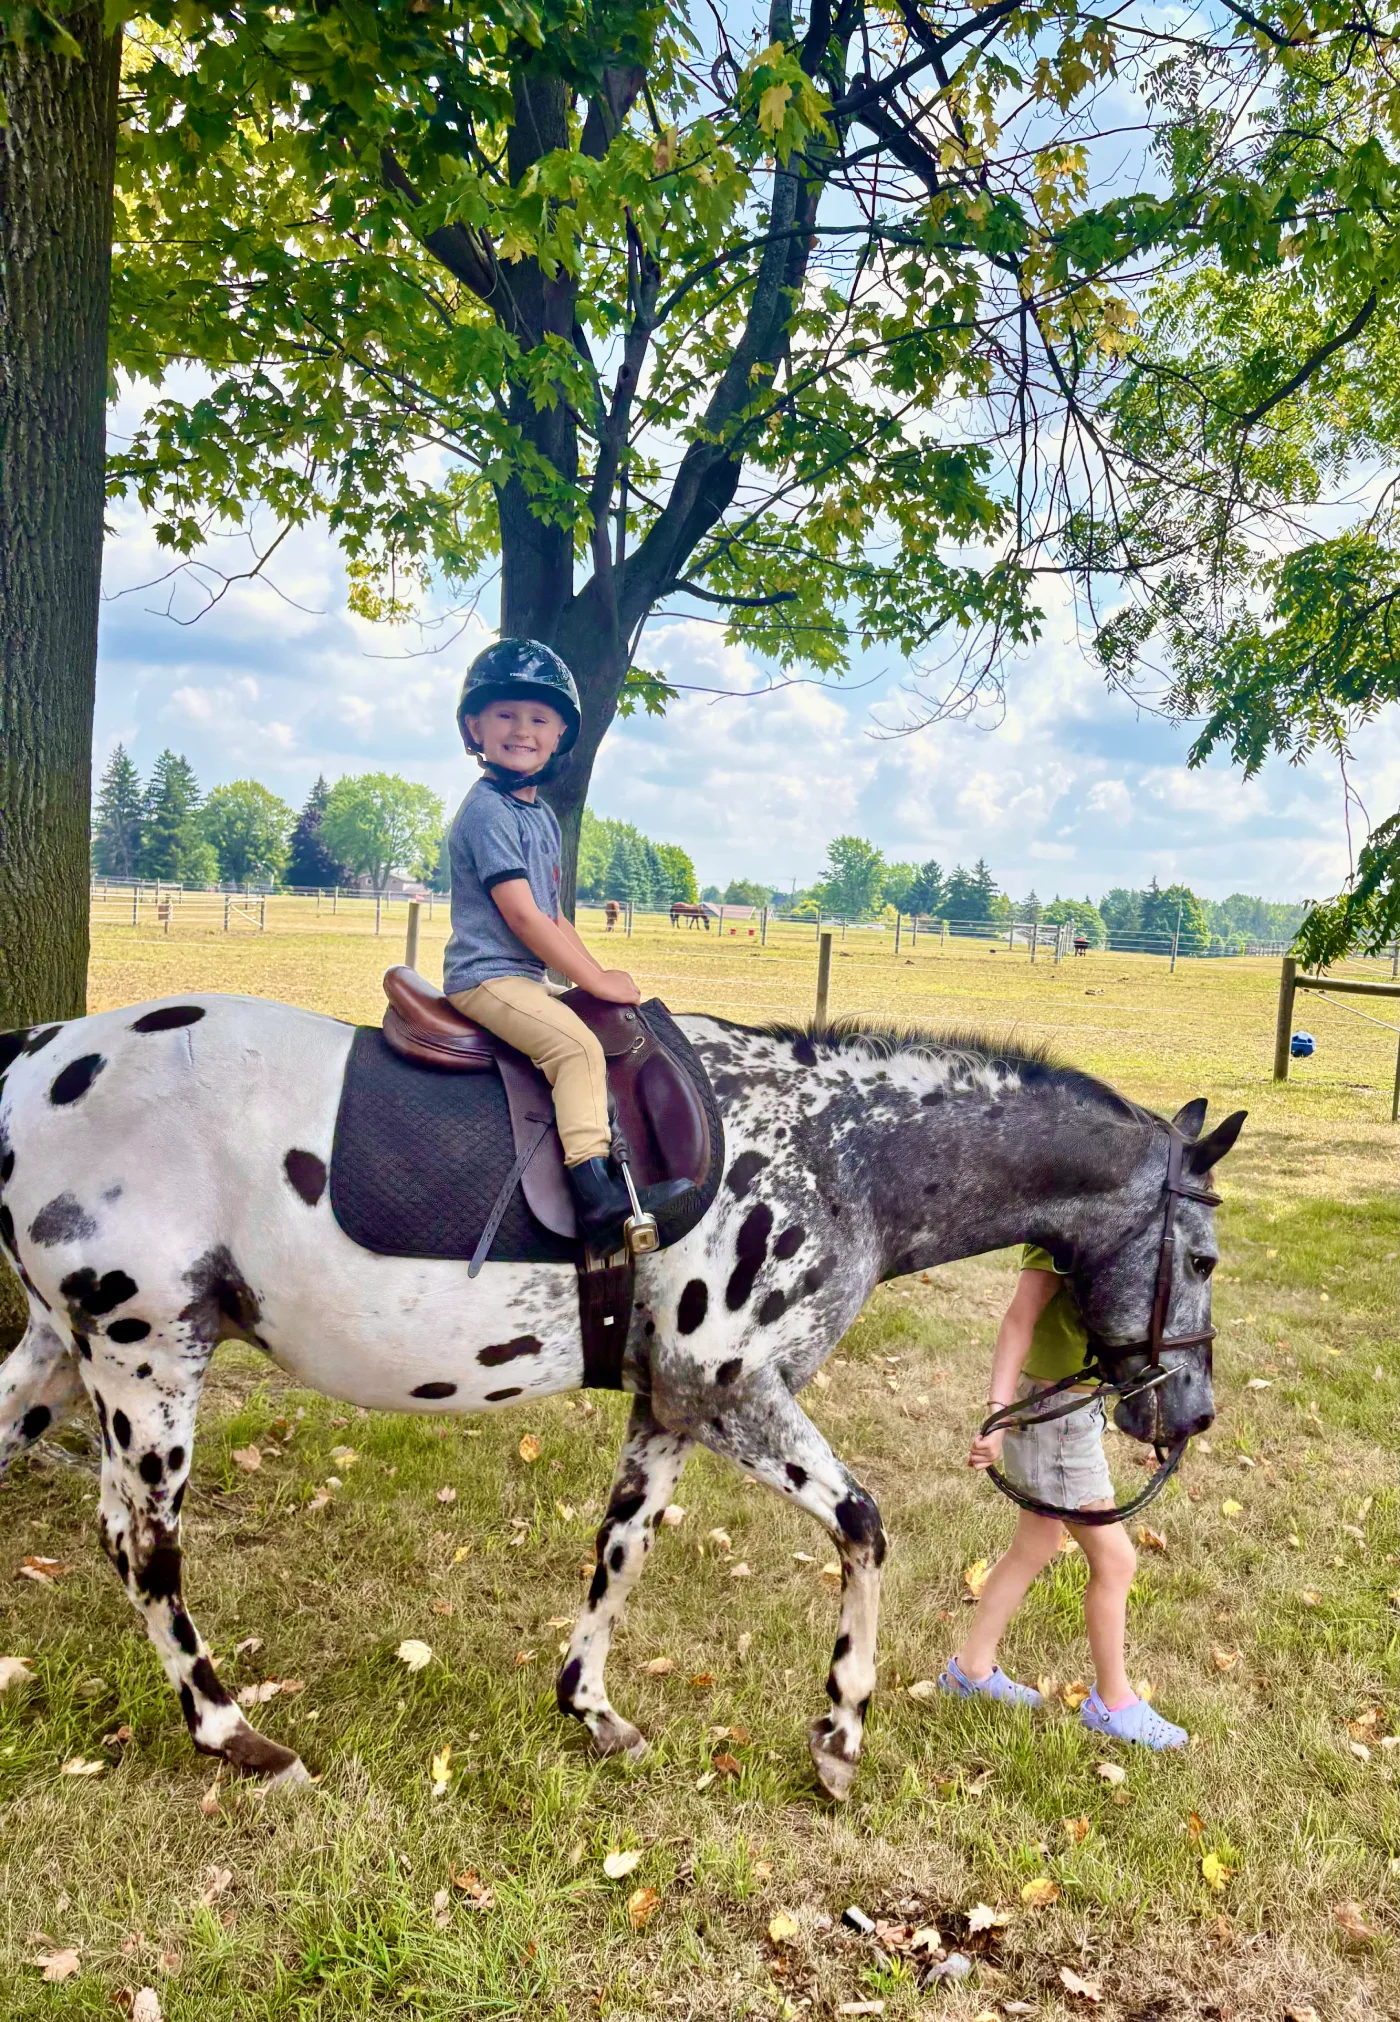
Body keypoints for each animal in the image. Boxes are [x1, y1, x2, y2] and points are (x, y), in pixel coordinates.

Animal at [0, 997, 1244, 1799]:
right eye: (1205, 1258)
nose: (1186, 1417)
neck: (838, 1155)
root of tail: (36, 1054)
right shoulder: (729, 1390)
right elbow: (861, 1526)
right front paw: (839, 1732)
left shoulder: (670, 1409)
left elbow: (620, 1545)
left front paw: (589, 1707)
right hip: (149, 1360)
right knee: (147, 1549)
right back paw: (232, 1734)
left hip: (66, 1354)